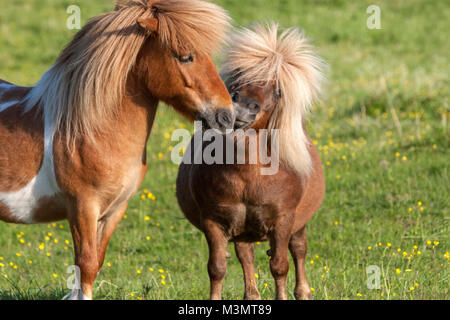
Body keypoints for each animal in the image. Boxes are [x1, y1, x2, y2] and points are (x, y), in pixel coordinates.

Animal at [0, 0, 236, 300]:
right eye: (185, 57)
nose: (226, 116)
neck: (91, 129)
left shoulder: (114, 210)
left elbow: (94, 263)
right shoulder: (83, 208)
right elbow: (86, 264)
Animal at [177, 23, 326, 300]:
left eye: (277, 91)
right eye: (239, 76)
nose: (243, 106)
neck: (247, 174)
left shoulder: (283, 222)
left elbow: (279, 266)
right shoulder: (214, 222)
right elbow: (217, 269)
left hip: (297, 225)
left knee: (299, 250)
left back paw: (303, 292)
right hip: (242, 231)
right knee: (246, 258)